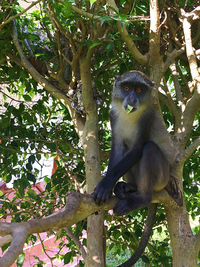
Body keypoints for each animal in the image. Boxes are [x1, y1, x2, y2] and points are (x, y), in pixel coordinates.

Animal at [92, 70, 183, 266]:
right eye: (126, 88)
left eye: (140, 90)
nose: (132, 99)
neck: (129, 116)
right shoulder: (113, 116)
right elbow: (120, 149)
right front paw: (108, 186)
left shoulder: (146, 118)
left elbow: (136, 150)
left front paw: (104, 186)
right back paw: (129, 187)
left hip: (161, 176)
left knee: (149, 149)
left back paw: (141, 197)